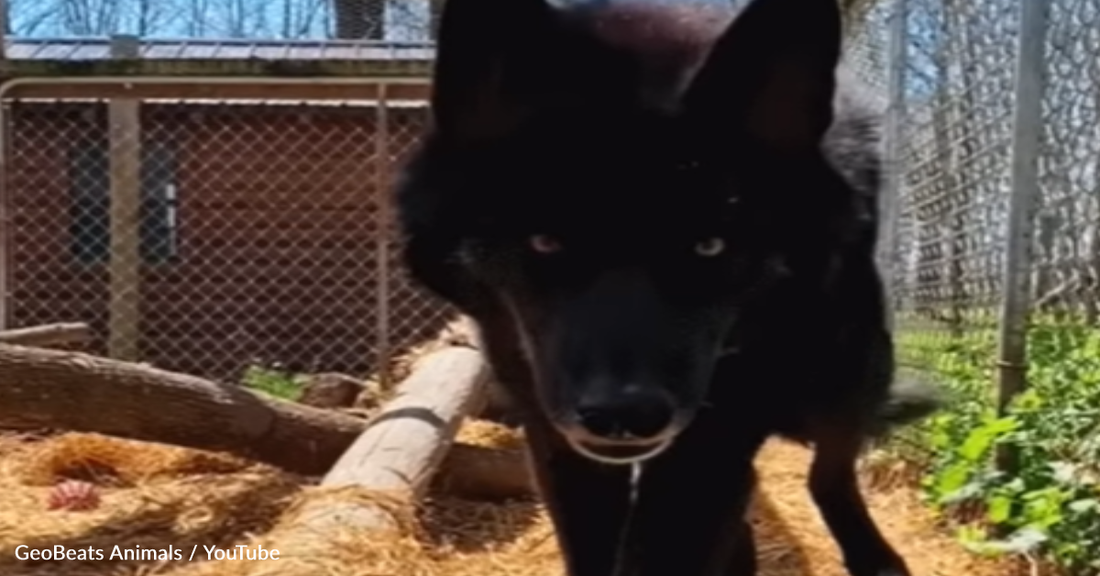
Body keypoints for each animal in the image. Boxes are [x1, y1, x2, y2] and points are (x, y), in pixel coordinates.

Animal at [392, 0, 939, 574]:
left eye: (710, 246)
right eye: (544, 242)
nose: (624, 415)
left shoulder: (720, 427)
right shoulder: (550, 425)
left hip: (849, 367)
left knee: (829, 472)